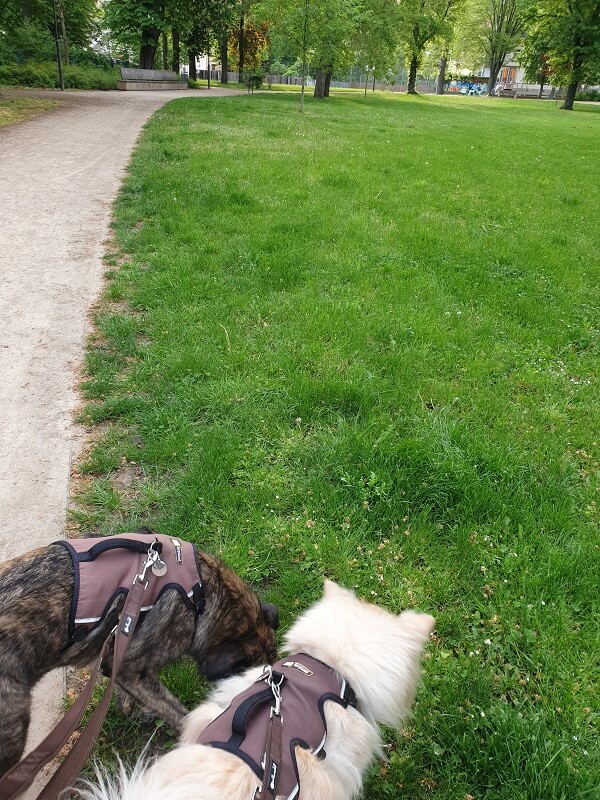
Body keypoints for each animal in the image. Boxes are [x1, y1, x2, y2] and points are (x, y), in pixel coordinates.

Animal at [0, 528, 276, 780]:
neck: (204, 594)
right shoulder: (134, 670)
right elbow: (180, 714)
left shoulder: (118, 656)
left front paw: (129, 705)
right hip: (12, 731)